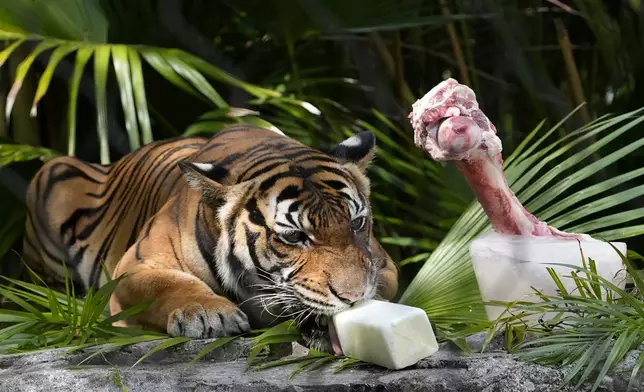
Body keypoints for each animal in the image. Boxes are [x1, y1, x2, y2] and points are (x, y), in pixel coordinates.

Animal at [21, 125, 398, 352]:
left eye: (357, 223)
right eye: (294, 236)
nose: (352, 298)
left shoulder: (383, 262)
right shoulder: (133, 266)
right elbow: (166, 283)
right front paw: (208, 313)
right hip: (52, 173)